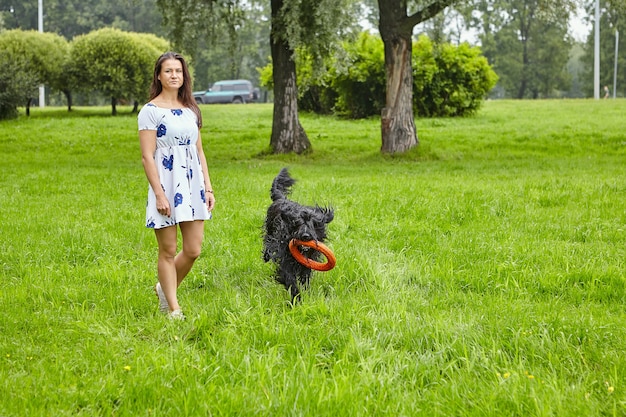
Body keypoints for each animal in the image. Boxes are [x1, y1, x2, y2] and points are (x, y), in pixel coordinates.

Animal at [260, 168, 334, 302]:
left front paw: (306, 292)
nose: (305, 236)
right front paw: (296, 299)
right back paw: (266, 255)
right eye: (297, 223)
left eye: (314, 223)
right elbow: (289, 279)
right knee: (268, 243)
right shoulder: (284, 259)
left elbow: (305, 277)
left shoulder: (307, 262)